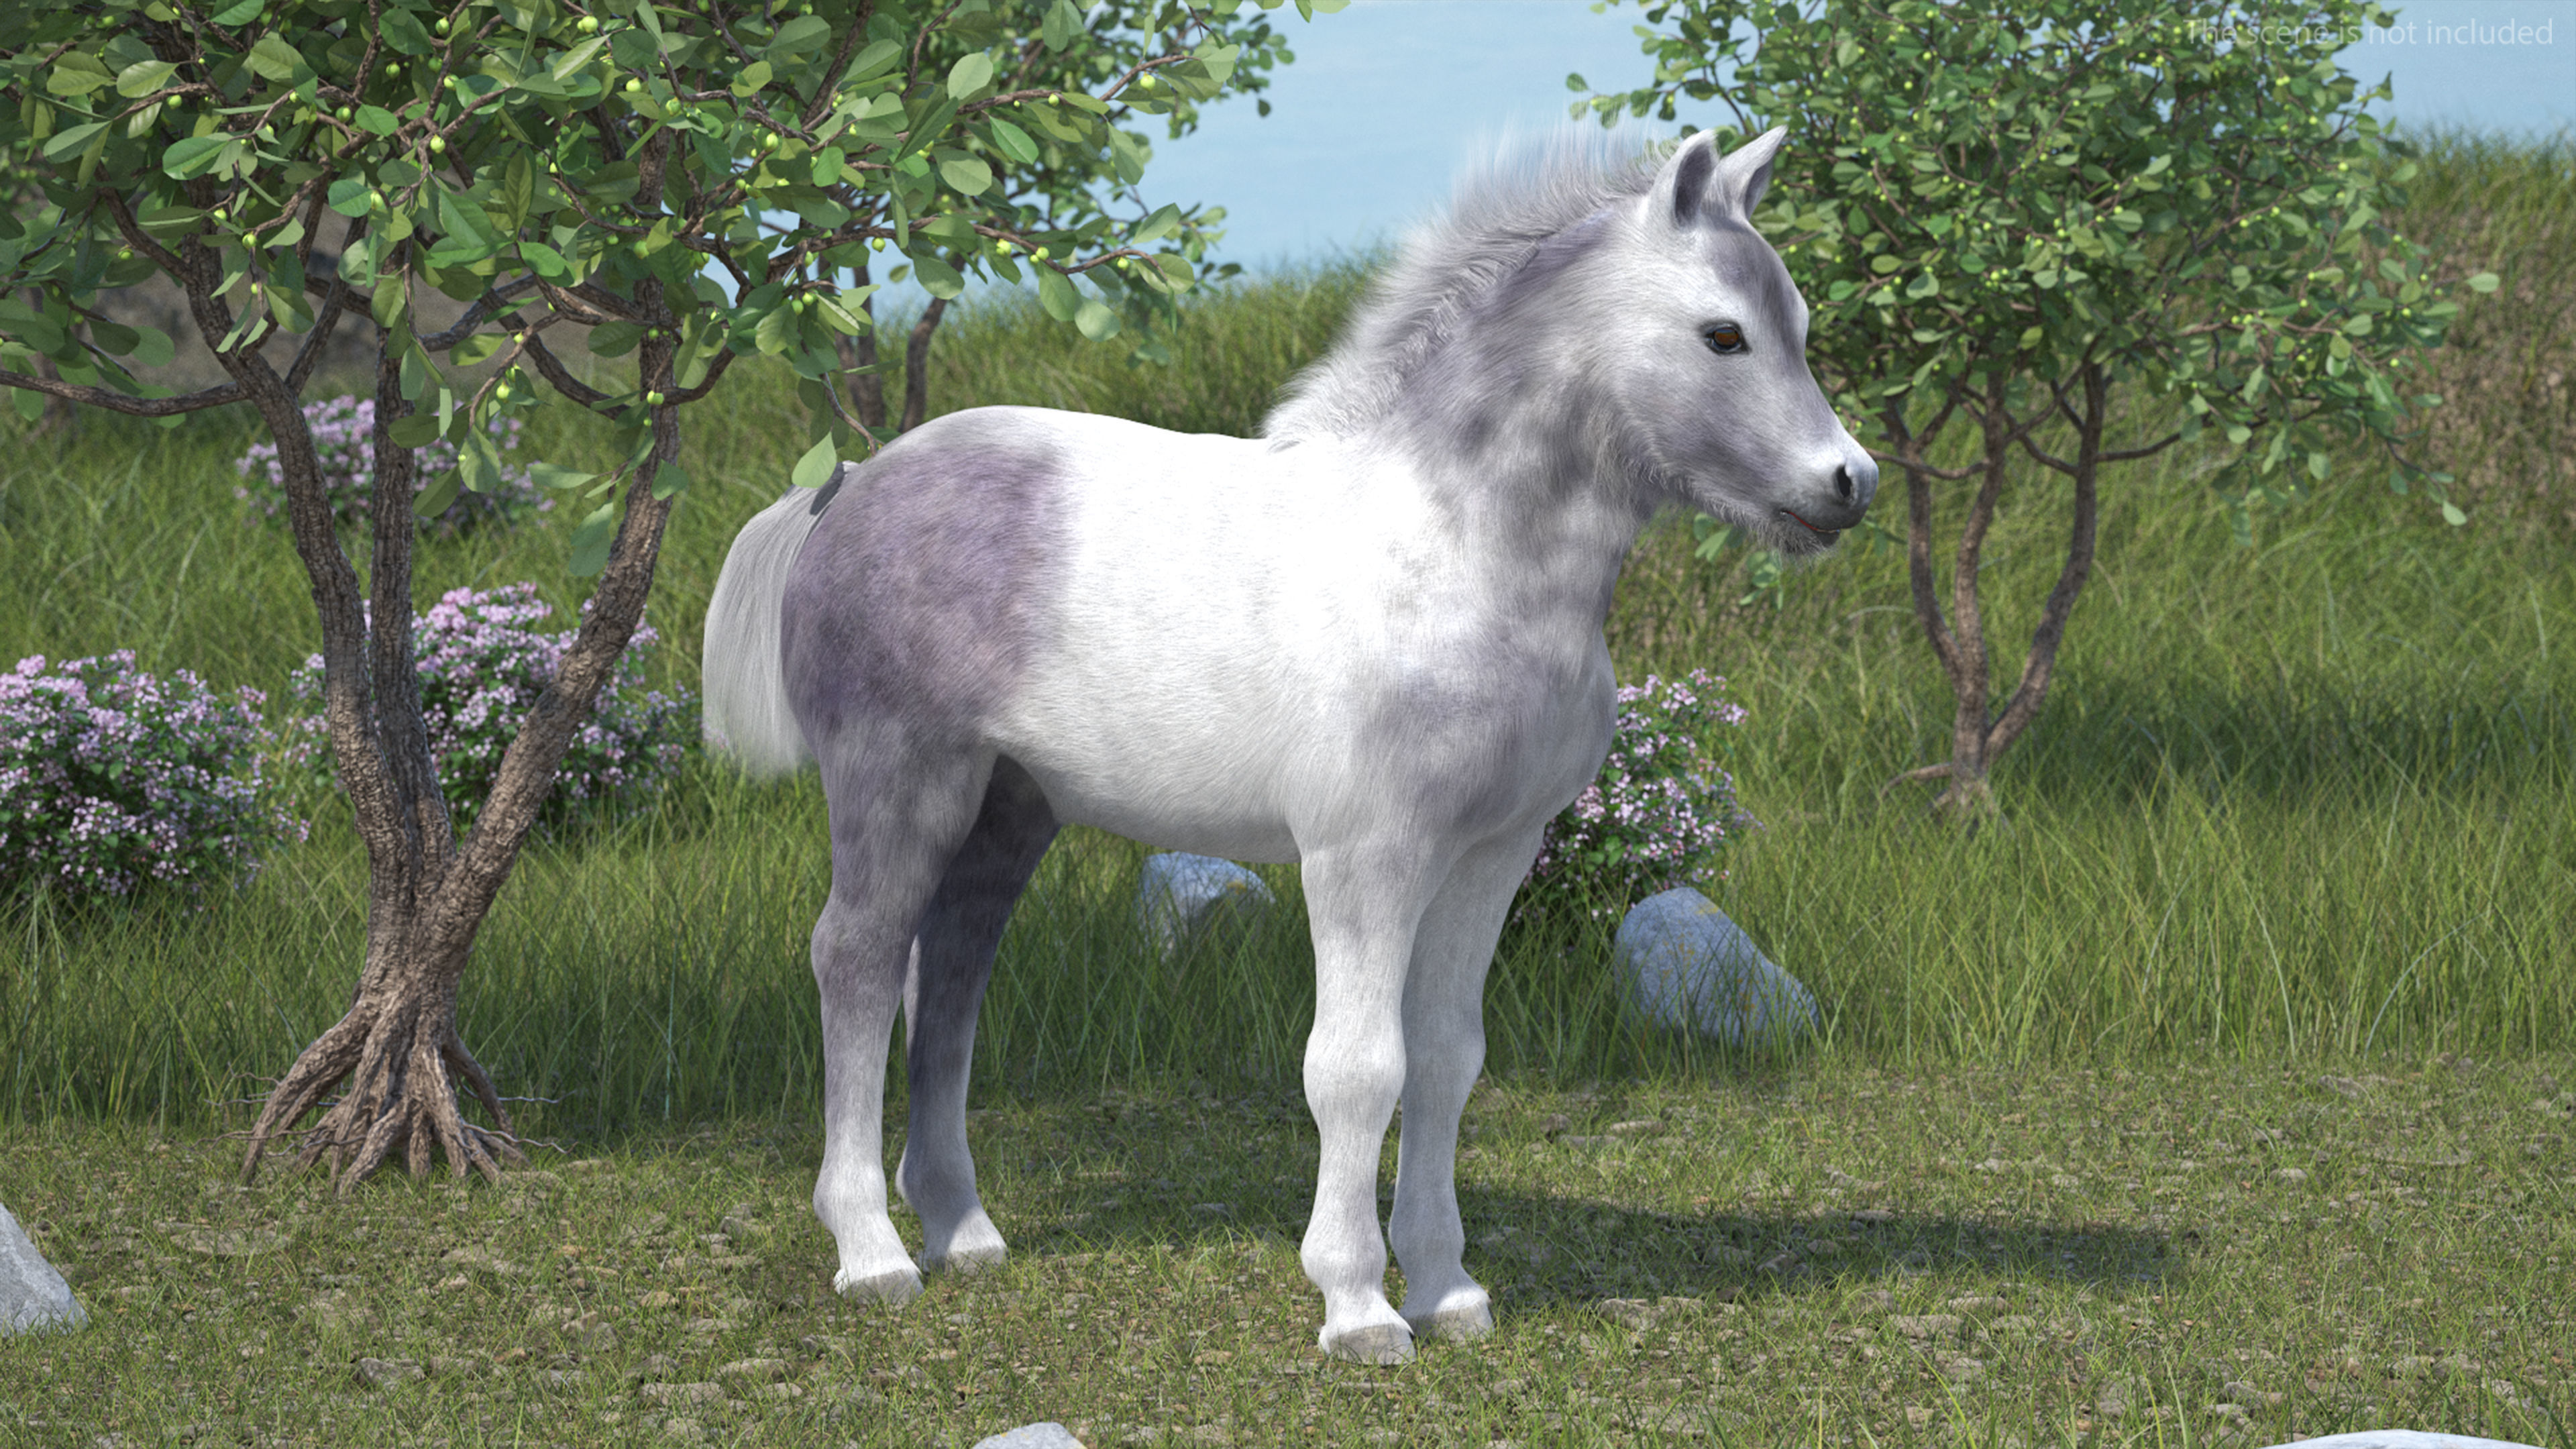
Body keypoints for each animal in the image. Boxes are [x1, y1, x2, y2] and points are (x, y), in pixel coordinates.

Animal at [700, 125, 1876, 1364]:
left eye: (1796, 322)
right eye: (1722, 332)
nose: (1850, 484)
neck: (1457, 552)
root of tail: (844, 491)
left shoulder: (1493, 854)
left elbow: (1447, 1058)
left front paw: (1449, 1291)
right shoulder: (1365, 855)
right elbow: (1357, 1068)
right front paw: (1358, 1307)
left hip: (1010, 806)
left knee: (954, 971)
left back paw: (963, 1231)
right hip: (896, 777)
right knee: (858, 959)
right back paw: (871, 1254)